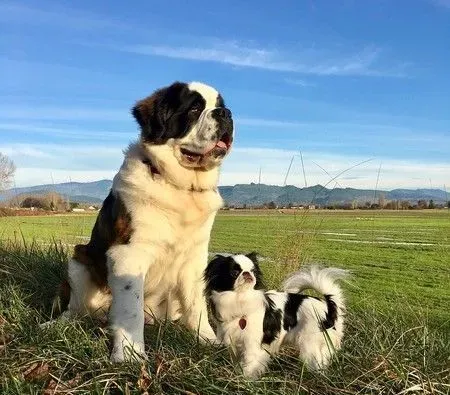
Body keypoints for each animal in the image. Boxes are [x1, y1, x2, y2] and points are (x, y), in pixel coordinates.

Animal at [51, 82, 234, 364]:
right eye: (194, 109)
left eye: (219, 105)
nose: (225, 113)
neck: (180, 187)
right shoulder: (128, 255)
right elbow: (130, 310)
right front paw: (130, 354)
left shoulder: (194, 260)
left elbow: (197, 306)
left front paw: (208, 341)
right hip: (79, 260)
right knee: (75, 309)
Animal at [204, 252, 348, 378]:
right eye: (234, 273)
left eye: (253, 271)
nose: (247, 274)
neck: (241, 298)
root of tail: (328, 306)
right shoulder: (235, 345)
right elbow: (238, 364)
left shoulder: (252, 346)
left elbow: (249, 366)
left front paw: (246, 381)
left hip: (310, 344)